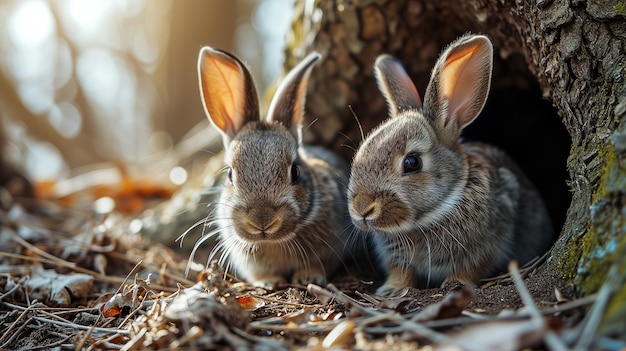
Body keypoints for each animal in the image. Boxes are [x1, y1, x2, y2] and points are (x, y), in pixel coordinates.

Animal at [195, 46, 352, 288]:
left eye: (295, 171)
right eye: (230, 174)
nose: (262, 219)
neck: (273, 241)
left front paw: (309, 276)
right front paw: (268, 282)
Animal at [346, 34, 552, 296]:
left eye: (412, 162)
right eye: (362, 150)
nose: (362, 208)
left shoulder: (487, 245)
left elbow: (471, 268)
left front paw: (456, 284)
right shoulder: (397, 257)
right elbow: (401, 272)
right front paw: (391, 290)